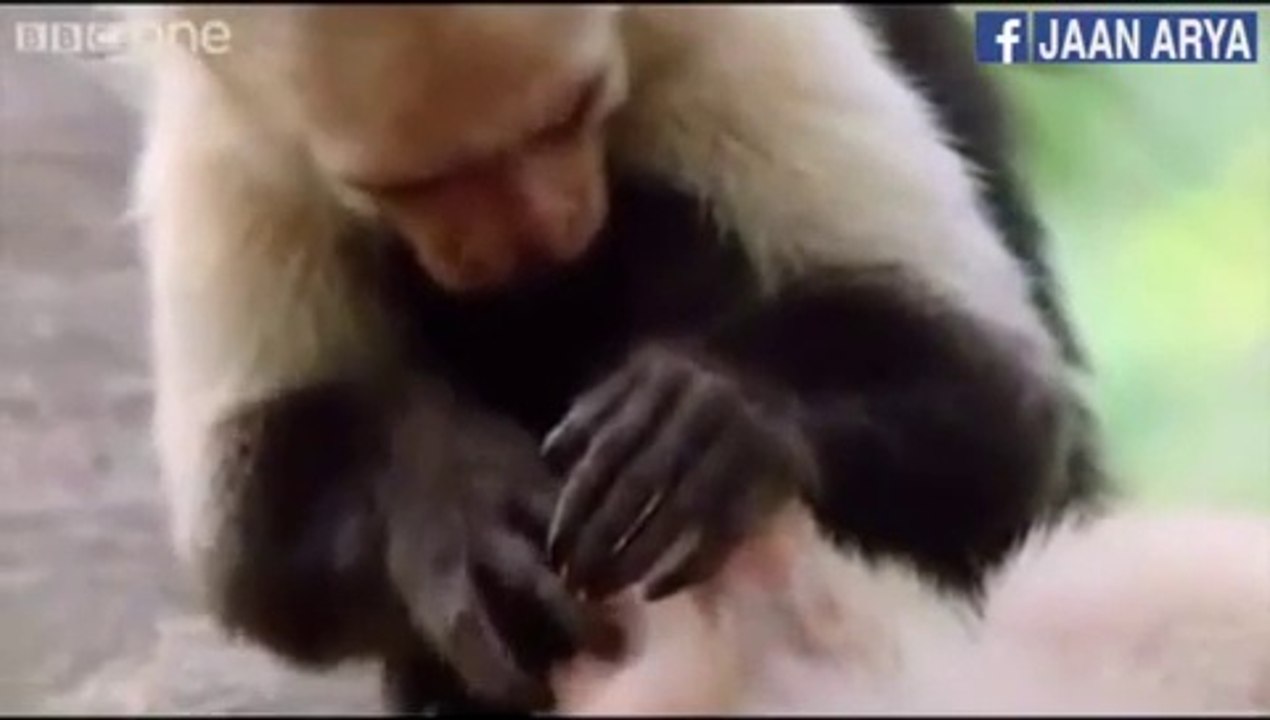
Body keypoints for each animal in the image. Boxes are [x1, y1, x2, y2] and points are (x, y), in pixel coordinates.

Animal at [113, 4, 1108, 712]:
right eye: (411, 185)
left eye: (572, 114)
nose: (530, 239)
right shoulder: (233, 135)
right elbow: (246, 540)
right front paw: (444, 496)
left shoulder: (721, 34)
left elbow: (1000, 404)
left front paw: (710, 420)